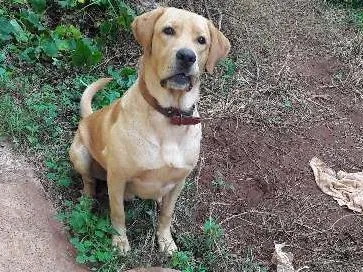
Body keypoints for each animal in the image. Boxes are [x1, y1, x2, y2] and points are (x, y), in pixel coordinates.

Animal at [69, 7, 230, 256]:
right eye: (168, 30)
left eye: (201, 40)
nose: (187, 56)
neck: (169, 116)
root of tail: (87, 117)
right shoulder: (117, 177)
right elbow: (118, 213)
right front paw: (120, 242)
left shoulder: (180, 181)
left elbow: (167, 214)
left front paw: (166, 241)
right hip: (80, 155)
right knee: (89, 182)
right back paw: (86, 202)